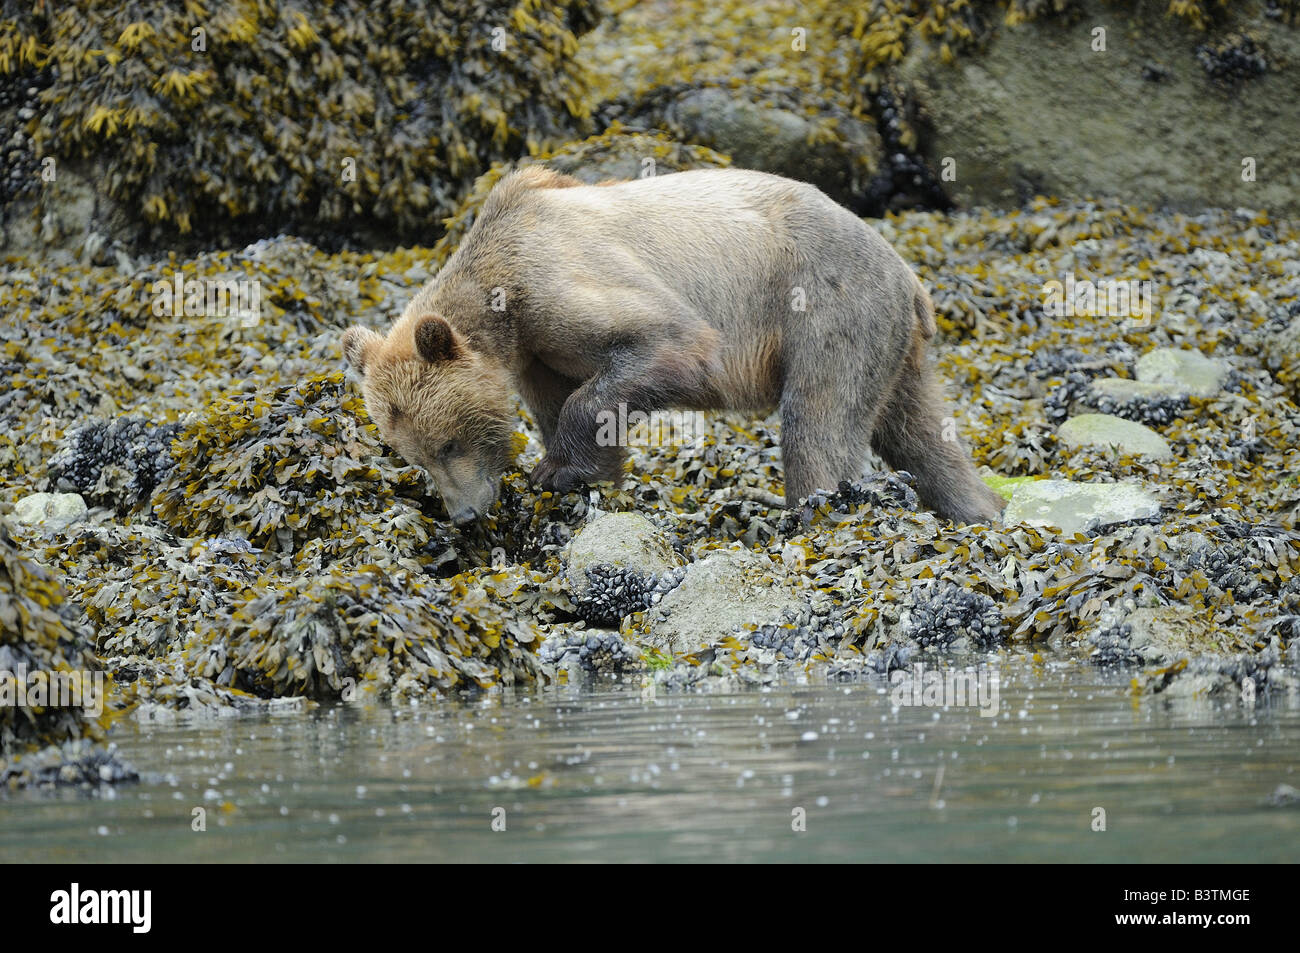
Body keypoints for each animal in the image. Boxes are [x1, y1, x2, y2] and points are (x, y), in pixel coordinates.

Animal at [343, 165, 1003, 520]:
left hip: (827, 303)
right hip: (892, 343)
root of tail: (908, 274)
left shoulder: (560, 283)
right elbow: (558, 402)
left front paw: (558, 471)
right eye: (412, 455)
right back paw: (980, 508)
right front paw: (583, 471)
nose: (464, 512)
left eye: (448, 442)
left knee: (820, 417)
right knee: (920, 430)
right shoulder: (534, 348)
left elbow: (667, 344)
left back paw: (813, 503)